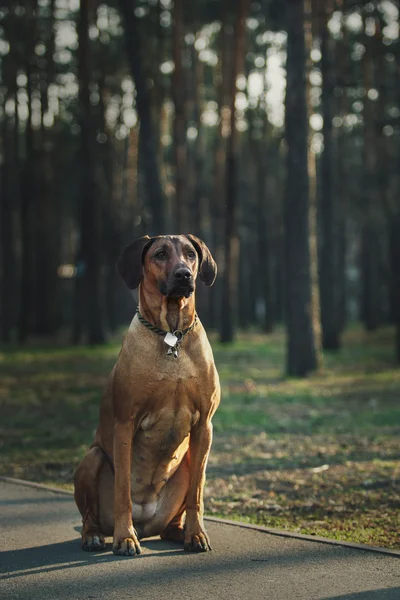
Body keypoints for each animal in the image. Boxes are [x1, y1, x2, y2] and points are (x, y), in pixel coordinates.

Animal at [73, 232, 220, 556]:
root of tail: (146, 522)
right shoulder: (125, 423)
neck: (171, 336)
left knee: (171, 522)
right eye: (160, 254)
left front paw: (197, 533)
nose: (184, 275)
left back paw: (180, 532)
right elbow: (122, 492)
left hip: (187, 462)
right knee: (90, 514)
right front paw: (125, 538)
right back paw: (95, 535)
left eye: (191, 254)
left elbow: (197, 494)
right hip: (92, 458)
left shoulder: (204, 425)